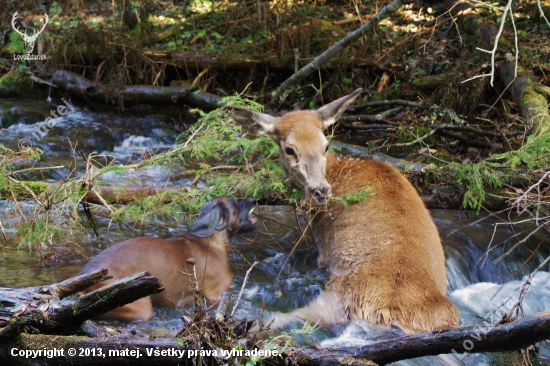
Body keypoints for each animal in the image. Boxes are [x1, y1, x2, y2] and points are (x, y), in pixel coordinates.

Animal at [226, 89, 460, 332]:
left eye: (326, 145)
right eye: (289, 149)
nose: (321, 190)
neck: (338, 170)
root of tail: (392, 315)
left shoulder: (322, 245)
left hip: (338, 297)